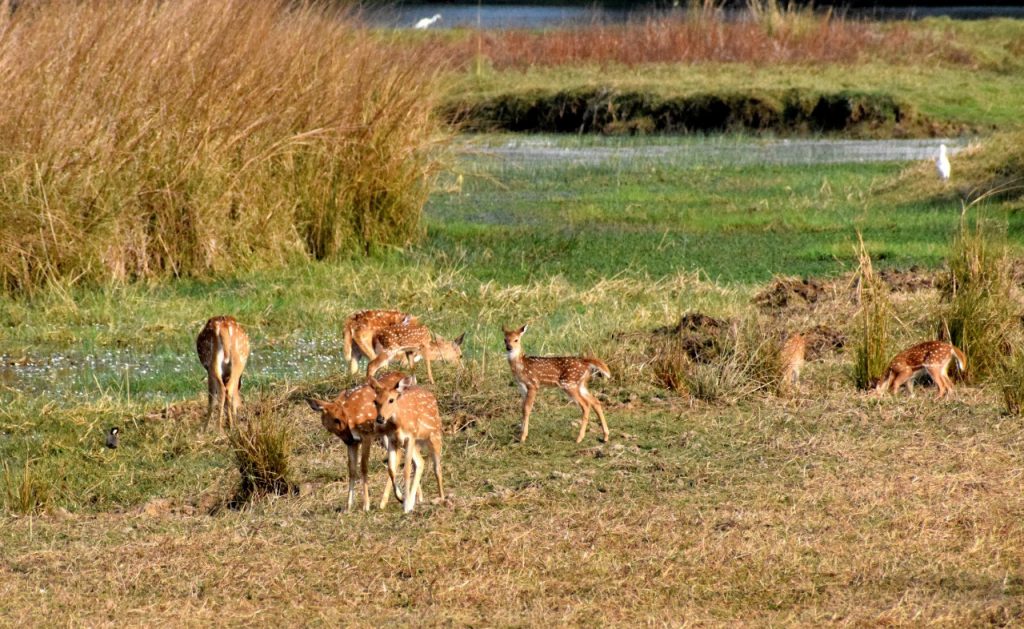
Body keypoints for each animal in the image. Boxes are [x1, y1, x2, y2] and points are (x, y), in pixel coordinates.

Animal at [306, 371, 406, 512]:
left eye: (343, 416)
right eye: (336, 419)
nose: (349, 437)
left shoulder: (367, 434)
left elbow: (364, 466)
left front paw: (366, 505)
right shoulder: (353, 443)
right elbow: (351, 469)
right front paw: (348, 506)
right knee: (399, 454)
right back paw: (389, 500)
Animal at [368, 374, 444, 514]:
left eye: (391, 400)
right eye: (375, 401)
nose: (380, 419)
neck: (399, 424)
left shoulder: (411, 436)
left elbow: (406, 469)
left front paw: (405, 505)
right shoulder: (393, 440)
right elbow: (391, 468)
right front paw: (401, 498)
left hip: (434, 435)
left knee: (437, 467)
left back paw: (441, 498)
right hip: (416, 444)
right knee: (420, 462)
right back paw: (412, 501)